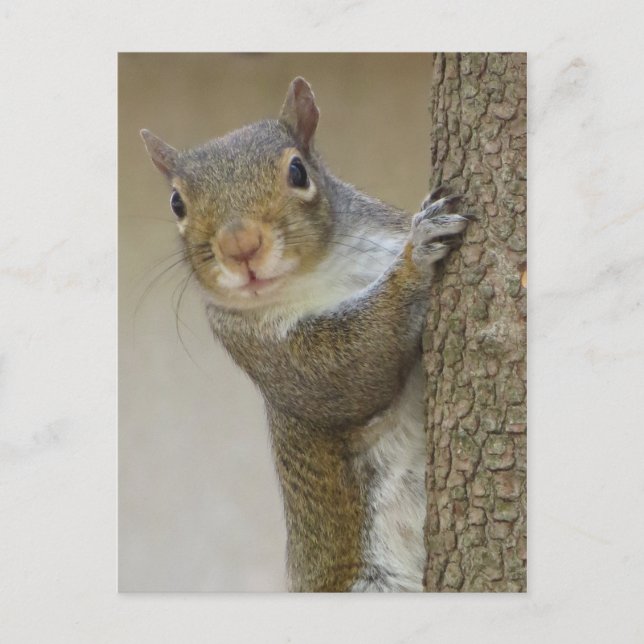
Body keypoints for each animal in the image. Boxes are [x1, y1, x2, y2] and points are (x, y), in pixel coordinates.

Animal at [141, 77, 468, 592]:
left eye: (298, 171)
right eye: (177, 203)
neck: (325, 268)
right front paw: (416, 256)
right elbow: (348, 373)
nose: (240, 245)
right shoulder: (268, 352)